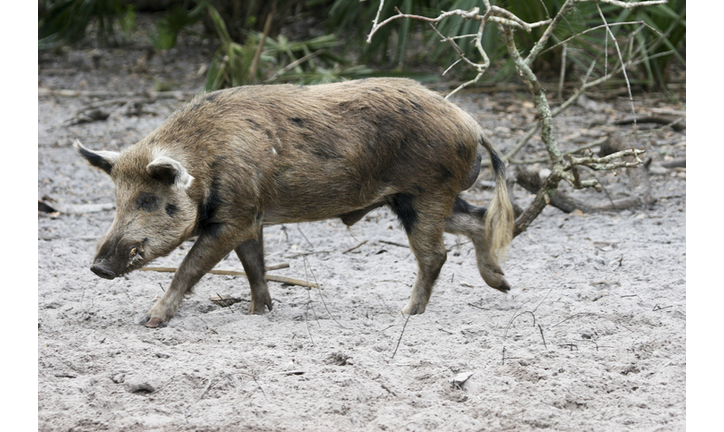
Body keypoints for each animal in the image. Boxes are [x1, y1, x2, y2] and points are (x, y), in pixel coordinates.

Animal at [76, 78, 512, 328]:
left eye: (149, 199)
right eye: (117, 200)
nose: (97, 267)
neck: (205, 160)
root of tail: (472, 124)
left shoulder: (234, 217)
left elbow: (189, 267)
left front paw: (150, 321)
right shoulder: (250, 218)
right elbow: (254, 266)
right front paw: (258, 313)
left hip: (425, 192)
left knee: (435, 254)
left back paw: (406, 313)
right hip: (415, 199)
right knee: (478, 219)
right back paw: (502, 284)